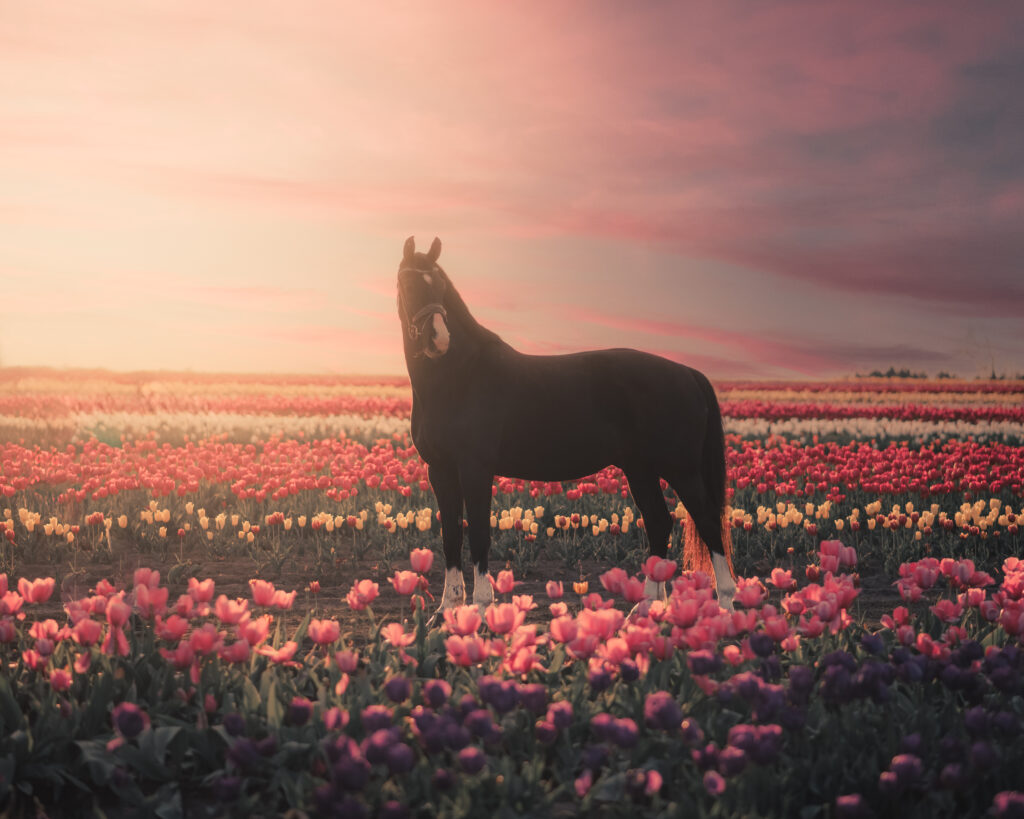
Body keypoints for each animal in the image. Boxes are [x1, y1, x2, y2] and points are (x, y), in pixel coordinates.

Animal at [393, 236, 737, 614]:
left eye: (440, 285)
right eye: (408, 283)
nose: (438, 339)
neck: (458, 378)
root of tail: (688, 373)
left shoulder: (475, 468)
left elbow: (479, 533)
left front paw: (482, 609)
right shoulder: (440, 470)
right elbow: (451, 535)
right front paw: (447, 610)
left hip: (681, 470)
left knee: (708, 521)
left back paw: (726, 605)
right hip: (641, 469)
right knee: (659, 522)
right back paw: (646, 607)